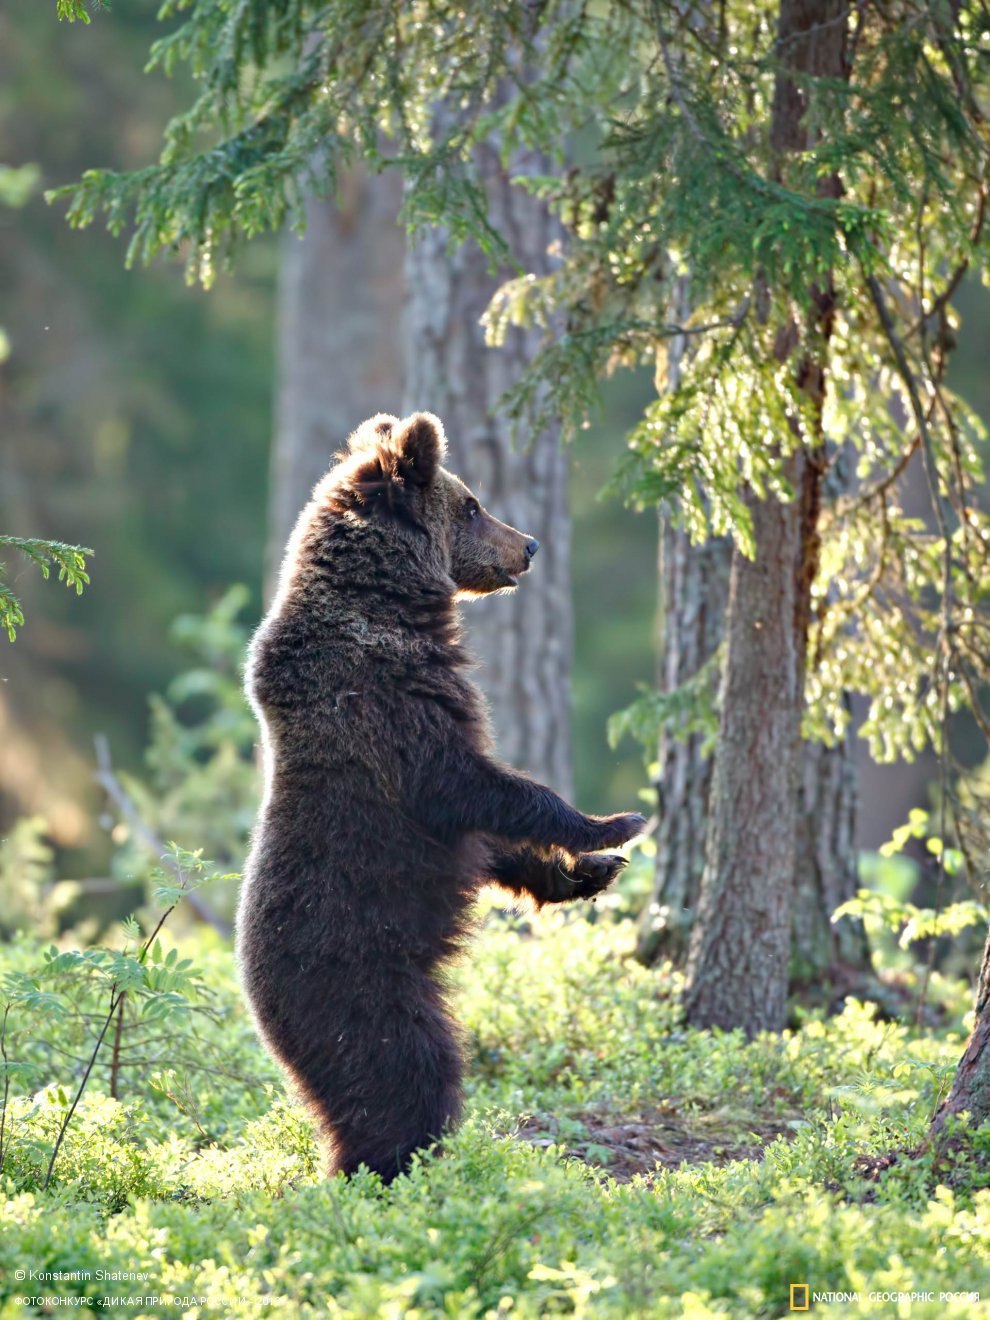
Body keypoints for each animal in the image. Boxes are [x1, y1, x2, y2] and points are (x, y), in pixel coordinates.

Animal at [237, 411, 646, 1188]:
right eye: (473, 504)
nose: (530, 544)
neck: (388, 607)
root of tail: (255, 1004)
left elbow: (492, 840)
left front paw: (588, 871)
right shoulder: (394, 712)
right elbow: (484, 788)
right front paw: (616, 822)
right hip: (363, 985)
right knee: (407, 1074)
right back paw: (405, 1167)